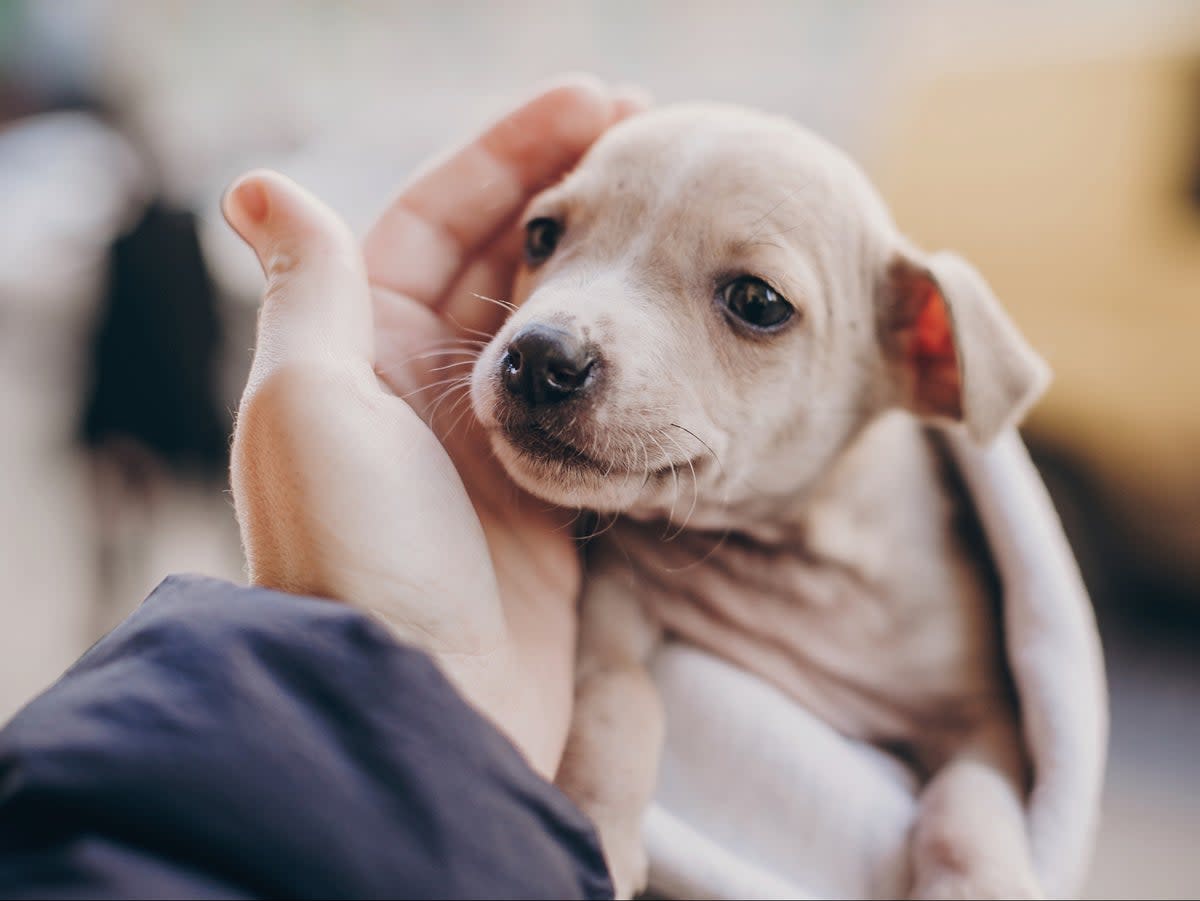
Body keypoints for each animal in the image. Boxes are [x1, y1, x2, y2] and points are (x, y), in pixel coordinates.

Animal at [465, 103, 1051, 897]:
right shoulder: (612, 614)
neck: (781, 556)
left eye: (757, 302)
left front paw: (977, 882)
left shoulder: (989, 719)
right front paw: (600, 828)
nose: (538, 358)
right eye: (540, 235)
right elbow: (620, 704)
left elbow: (971, 801)